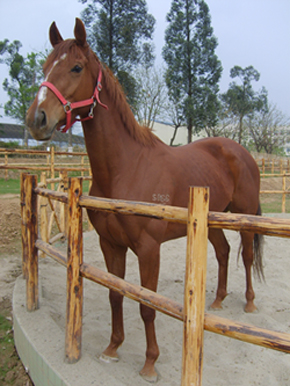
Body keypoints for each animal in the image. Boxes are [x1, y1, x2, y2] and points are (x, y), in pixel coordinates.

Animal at [26, 18, 264, 382]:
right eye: (45, 67)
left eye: (76, 67)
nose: (36, 119)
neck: (126, 168)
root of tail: (240, 151)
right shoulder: (111, 244)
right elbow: (115, 294)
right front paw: (112, 348)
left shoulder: (149, 249)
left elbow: (146, 305)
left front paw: (150, 363)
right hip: (213, 221)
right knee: (223, 252)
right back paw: (217, 301)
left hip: (244, 215)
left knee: (247, 256)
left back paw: (249, 303)